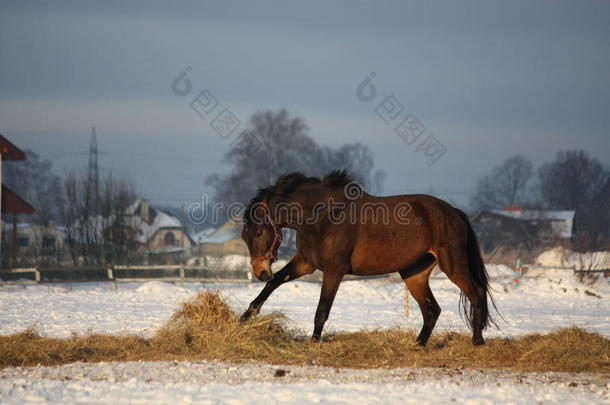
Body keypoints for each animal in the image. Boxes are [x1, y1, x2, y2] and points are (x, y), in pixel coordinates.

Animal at [238, 170, 494, 344]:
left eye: (259, 232)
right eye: (244, 235)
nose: (260, 271)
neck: (323, 216)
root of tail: (454, 212)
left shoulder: (334, 270)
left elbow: (322, 309)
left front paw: (314, 342)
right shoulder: (306, 263)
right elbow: (273, 283)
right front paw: (244, 318)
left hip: (453, 265)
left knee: (476, 294)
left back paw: (477, 340)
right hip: (414, 274)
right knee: (432, 310)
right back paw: (419, 344)